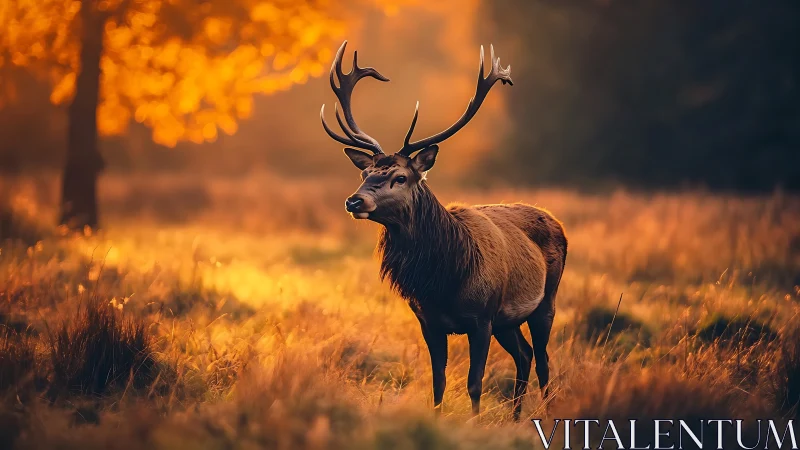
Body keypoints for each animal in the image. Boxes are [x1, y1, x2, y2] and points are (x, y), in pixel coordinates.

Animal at [320, 41, 567, 421]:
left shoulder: (481, 319)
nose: (354, 200)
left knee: (542, 361)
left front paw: (475, 424)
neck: (444, 279)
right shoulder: (429, 321)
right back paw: (514, 418)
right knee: (524, 356)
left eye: (400, 177)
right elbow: (438, 383)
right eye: (365, 174)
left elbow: (474, 383)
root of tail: (555, 221)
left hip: (546, 302)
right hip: (508, 321)